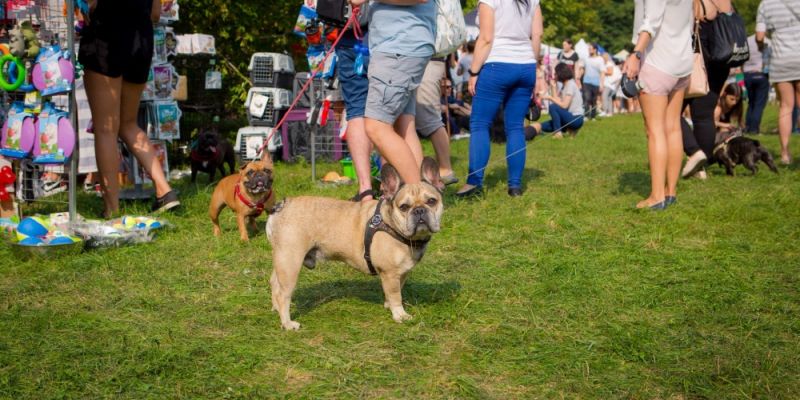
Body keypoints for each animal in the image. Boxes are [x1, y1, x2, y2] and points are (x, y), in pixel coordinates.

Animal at [268, 158, 444, 330]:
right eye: (404, 207)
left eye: (431, 201)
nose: (419, 210)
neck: (391, 224)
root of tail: (282, 206)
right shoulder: (390, 272)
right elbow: (395, 294)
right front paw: (400, 315)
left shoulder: (401, 272)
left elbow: (396, 290)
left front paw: (389, 306)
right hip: (290, 262)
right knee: (283, 294)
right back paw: (287, 323)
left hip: (283, 260)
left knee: (275, 283)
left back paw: (277, 310)